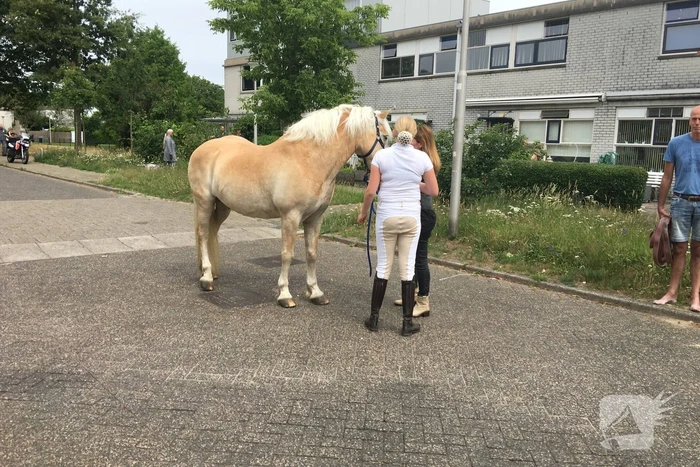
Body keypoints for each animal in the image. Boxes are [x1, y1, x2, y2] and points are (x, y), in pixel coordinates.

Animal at [187, 104, 391, 307]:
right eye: (385, 136)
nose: (381, 174)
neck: (309, 160)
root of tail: (202, 149)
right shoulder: (290, 216)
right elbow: (287, 254)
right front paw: (285, 294)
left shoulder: (315, 218)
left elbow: (312, 254)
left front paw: (315, 292)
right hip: (205, 202)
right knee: (203, 234)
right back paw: (206, 278)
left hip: (222, 206)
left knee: (212, 231)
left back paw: (209, 272)